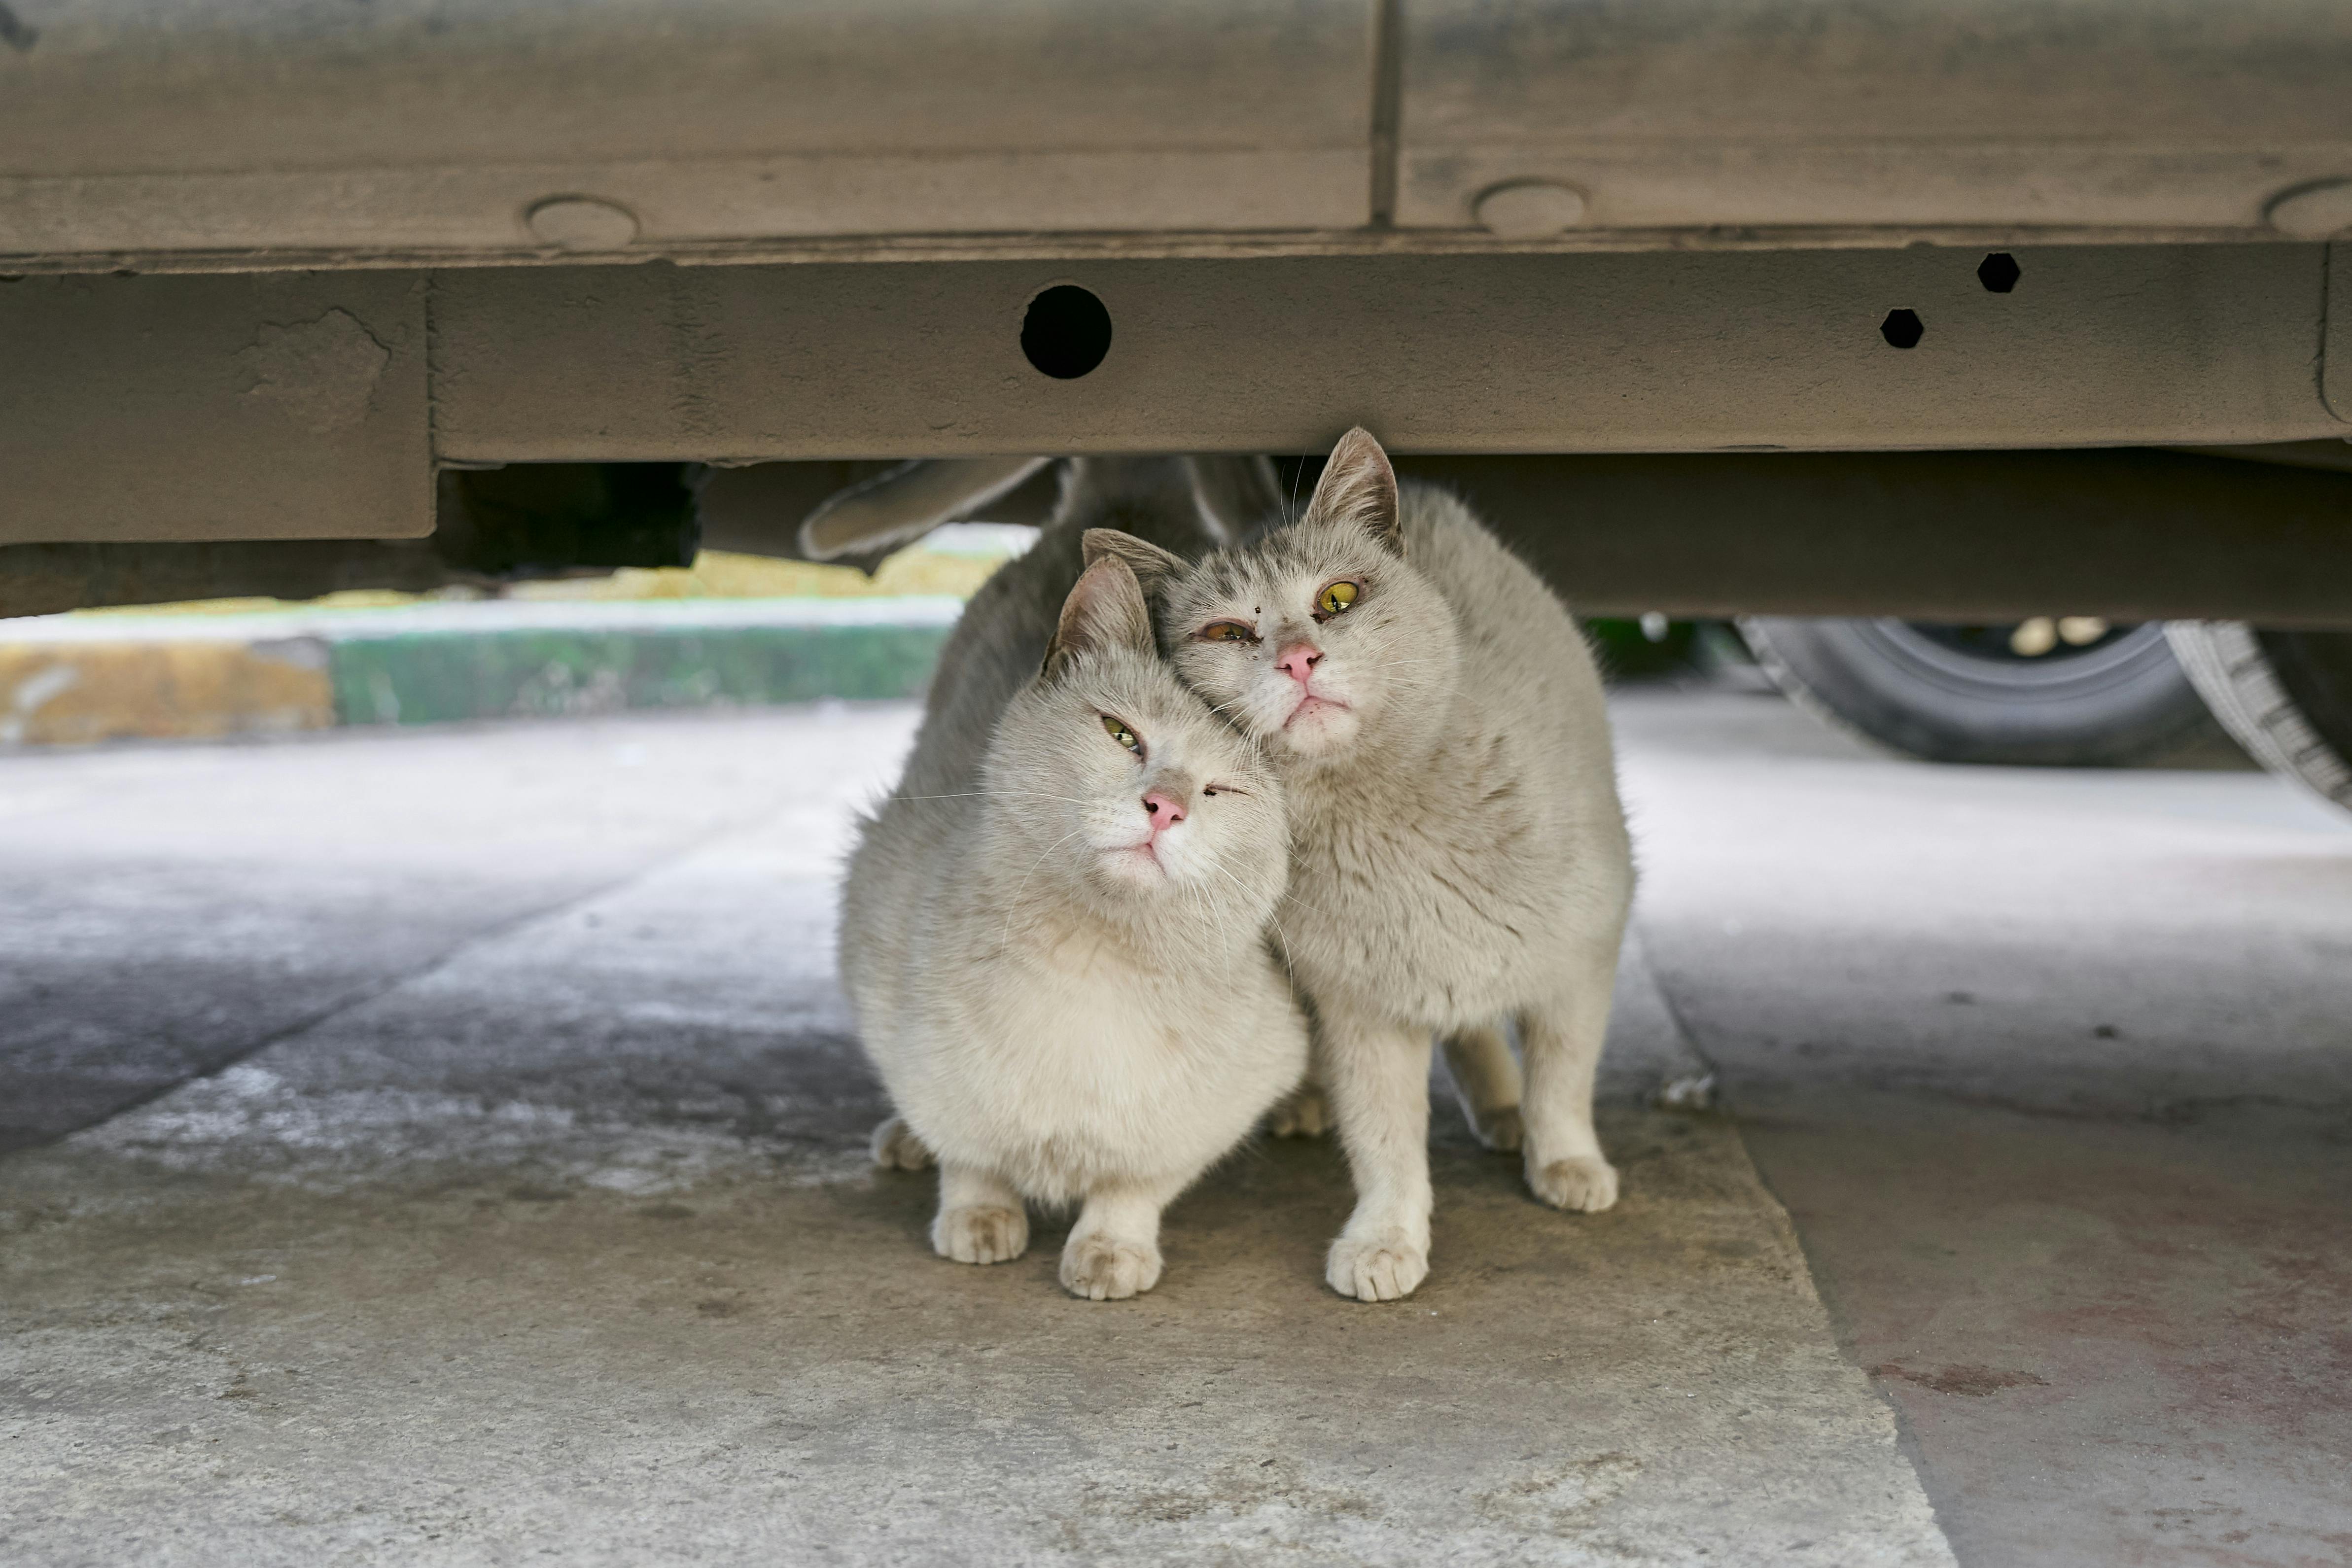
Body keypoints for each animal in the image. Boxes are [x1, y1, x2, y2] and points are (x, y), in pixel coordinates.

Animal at [842, 456, 1317, 1297]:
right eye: (1121, 735)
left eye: (1224, 791)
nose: (1164, 807)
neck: (1091, 965)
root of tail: (1131, 479)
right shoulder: (878, 962)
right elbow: (967, 1147)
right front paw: (977, 1216)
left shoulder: (1225, 1093)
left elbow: (1134, 1183)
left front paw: (1109, 1250)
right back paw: (905, 1143)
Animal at [1087, 425, 1627, 1297]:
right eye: (1228, 633)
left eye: (1337, 600)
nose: (1298, 660)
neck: (1381, 816)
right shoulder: (1361, 1013)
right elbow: (1383, 1140)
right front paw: (1386, 1238)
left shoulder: (1585, 954)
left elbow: (1563, 1077)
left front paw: (1566, 1162)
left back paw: (1506, 1114)